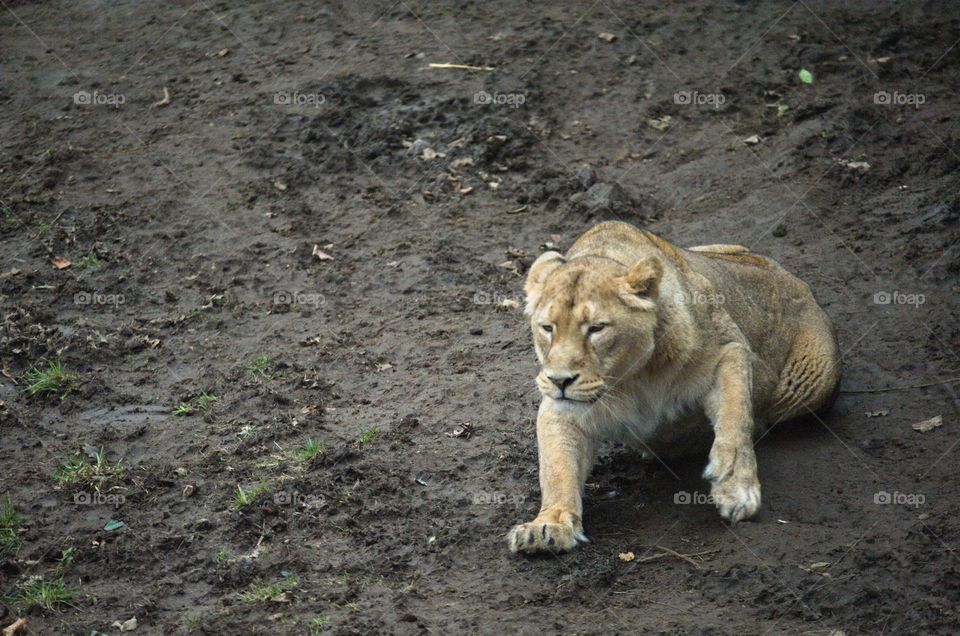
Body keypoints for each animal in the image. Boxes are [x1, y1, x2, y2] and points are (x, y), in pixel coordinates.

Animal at [507, 221, 841, 554]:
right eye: (547, 328)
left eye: (596, 328)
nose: (559, 380)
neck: (630, 380)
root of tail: (795, 280)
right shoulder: (560, 409)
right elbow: (556, 470)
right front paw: (548, 524)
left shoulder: (728, 350)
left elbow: (735, 419)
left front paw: (736, 487)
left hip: (812, 382)